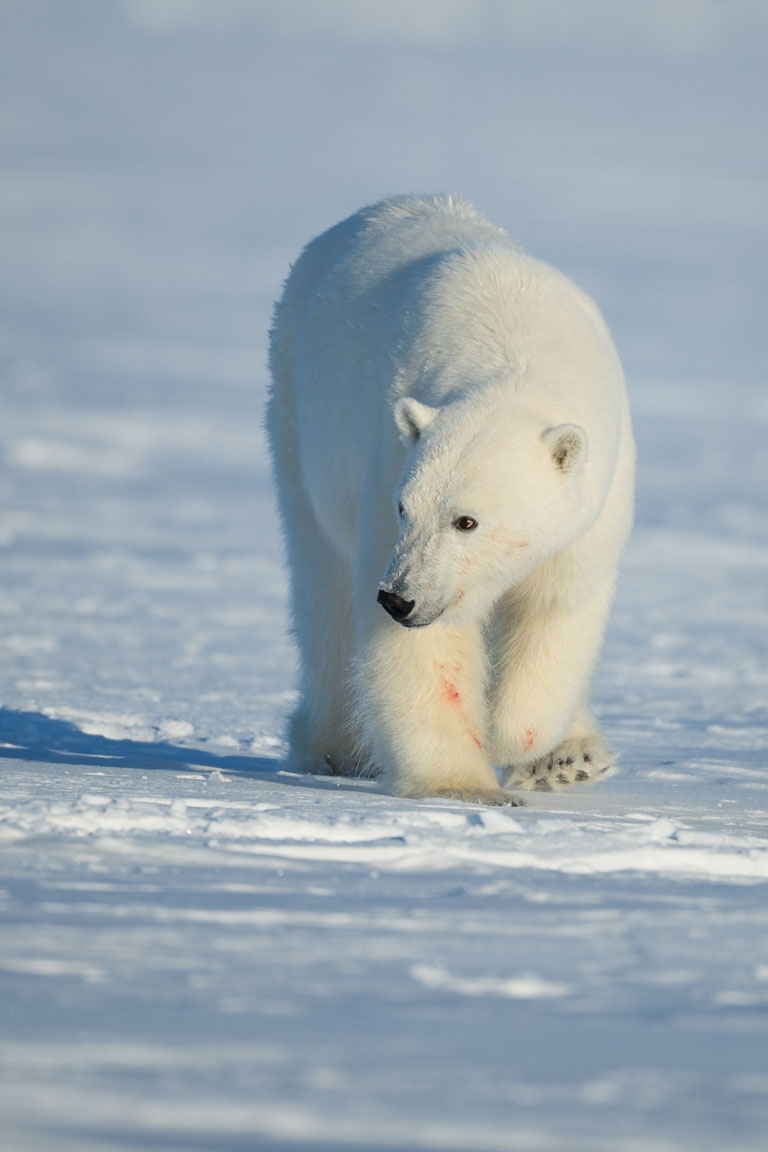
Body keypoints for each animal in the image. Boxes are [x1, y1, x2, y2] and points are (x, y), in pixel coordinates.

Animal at [267, 195, 635, 801]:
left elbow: (554, 608)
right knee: (324, 588)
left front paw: (519, 738)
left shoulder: (597, 495)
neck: (515, 359)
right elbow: (425, 652)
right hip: (298, 417)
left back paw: (574, 756)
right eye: (404, 509)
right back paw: (336, 750)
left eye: (467, 521)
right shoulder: (387, 463)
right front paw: (461, 786)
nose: (398, 599)